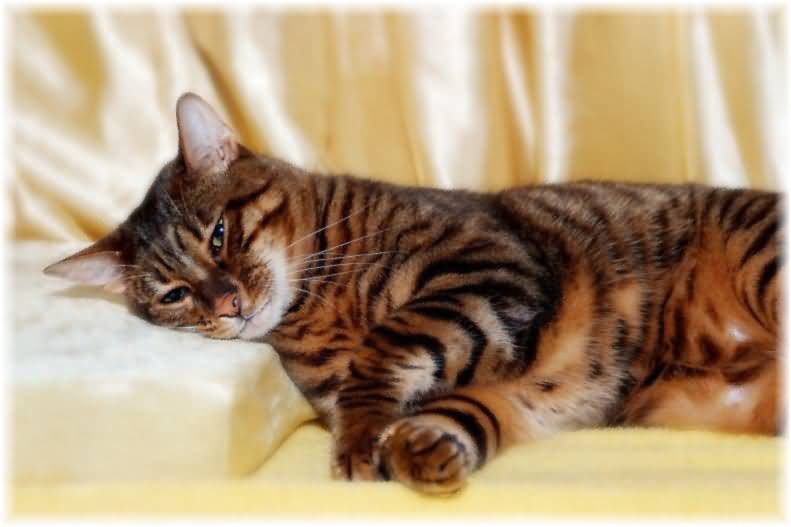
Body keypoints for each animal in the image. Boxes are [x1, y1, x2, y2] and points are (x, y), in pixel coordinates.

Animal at [46, 92, 784, 496]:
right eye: (174, 293)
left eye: (219, 234)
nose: (227, 303)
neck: (318, 302)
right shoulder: (533, 394)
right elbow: (460, 408)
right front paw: (419, 447)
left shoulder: (486, 266)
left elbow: (390, 345)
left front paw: (361, 444)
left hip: (762, 258)